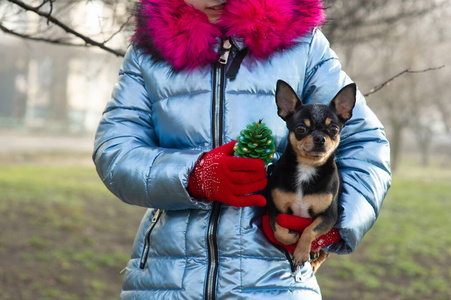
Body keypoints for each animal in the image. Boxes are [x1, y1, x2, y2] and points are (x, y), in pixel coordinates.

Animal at [264, 81, 356, 274]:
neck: (307, 167)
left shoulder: (329, 217)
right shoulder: (275, 210)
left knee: (323, 253)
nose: (320, 138)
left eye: (333, 129)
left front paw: (300, 252)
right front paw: (291, 238)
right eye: (300, 128)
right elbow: (278, 231)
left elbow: (309, 230)